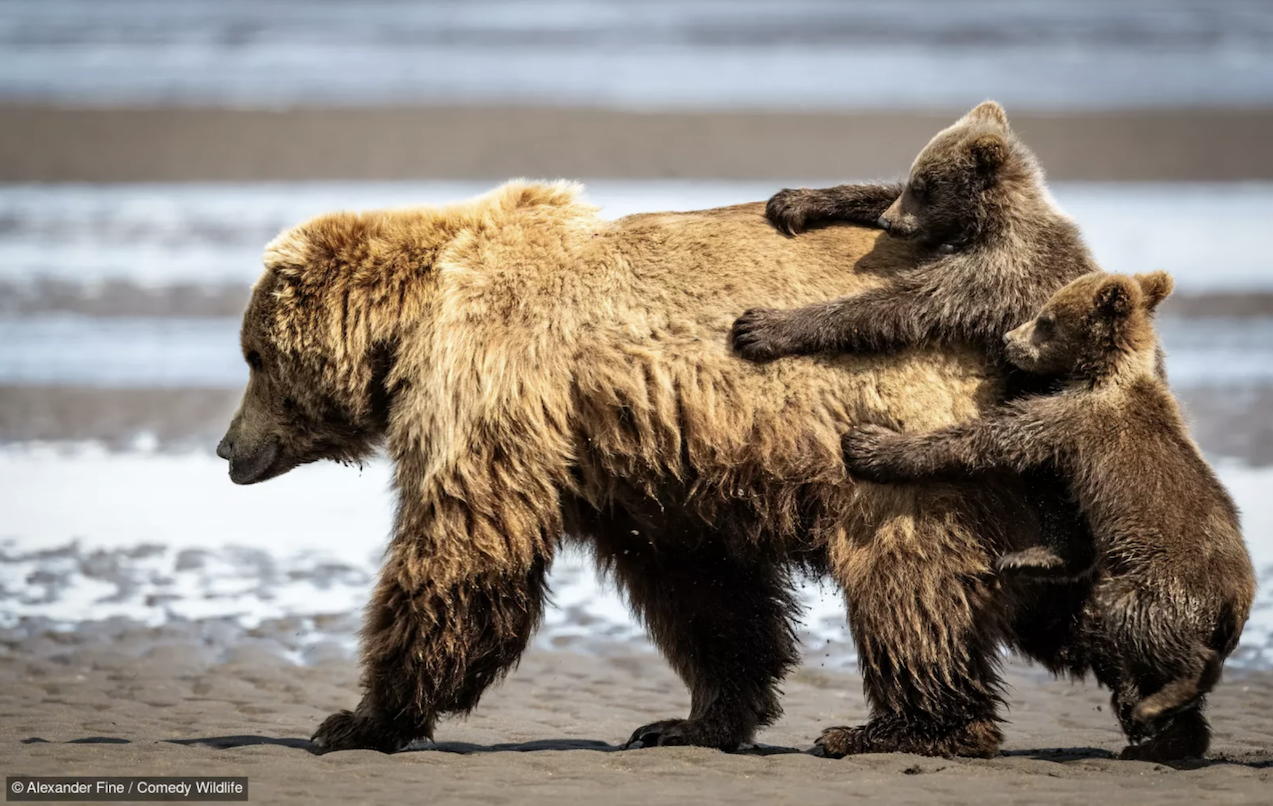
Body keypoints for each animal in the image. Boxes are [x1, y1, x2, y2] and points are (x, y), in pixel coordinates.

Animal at [218, 179, 1048, 758]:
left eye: (252, 354)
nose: (227, 449)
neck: (414, 318)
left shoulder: (491, 379)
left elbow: (461, 545)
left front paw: (356, 719)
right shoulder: (642, 467)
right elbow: (704, 590)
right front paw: (691, 720)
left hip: (901, 433)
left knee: (906, 580)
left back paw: (905, 726)